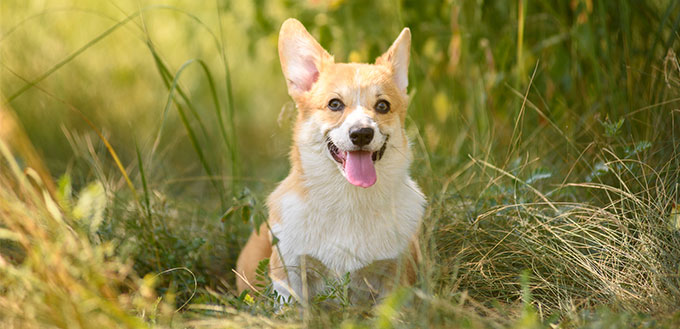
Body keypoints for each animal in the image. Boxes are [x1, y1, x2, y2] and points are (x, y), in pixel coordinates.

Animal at [235, 18, 424, 302]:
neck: (349, 199)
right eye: (335, 104)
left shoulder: (395, 273)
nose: (361, 134)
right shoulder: (290, 274)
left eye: (382, 106)